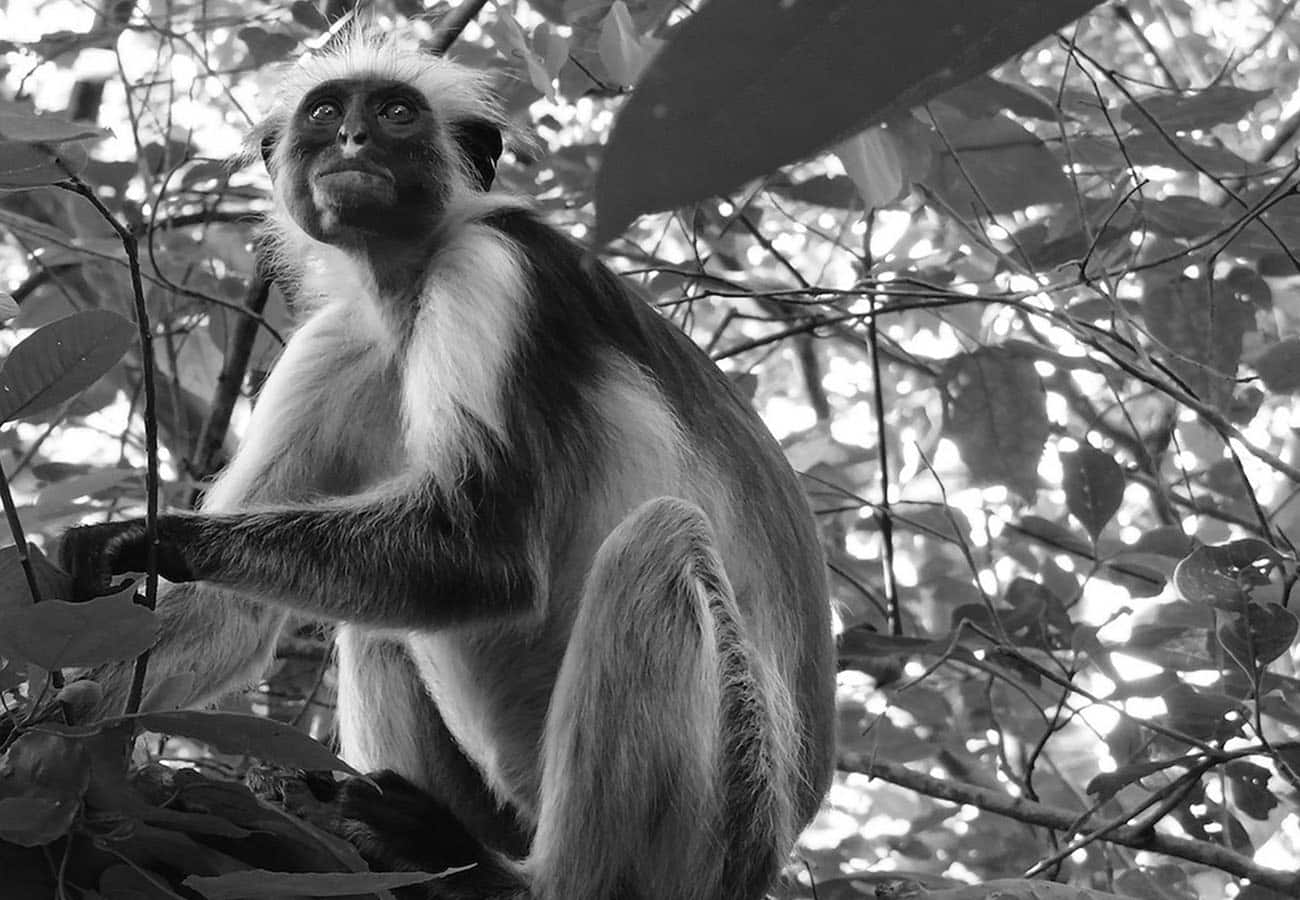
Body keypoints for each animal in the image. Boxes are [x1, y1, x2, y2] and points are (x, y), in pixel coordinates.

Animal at [58, 29, 832, 900]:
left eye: (396, 113)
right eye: (326, 112)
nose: (354, 139)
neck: (407, 288)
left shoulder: (491, 265)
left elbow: (486, 549)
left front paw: (150, 539)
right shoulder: (335, 344)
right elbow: (234, 615)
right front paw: (52, 716)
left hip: (730, 811)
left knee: (659, 538)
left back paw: (521, 879)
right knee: (380, 617)